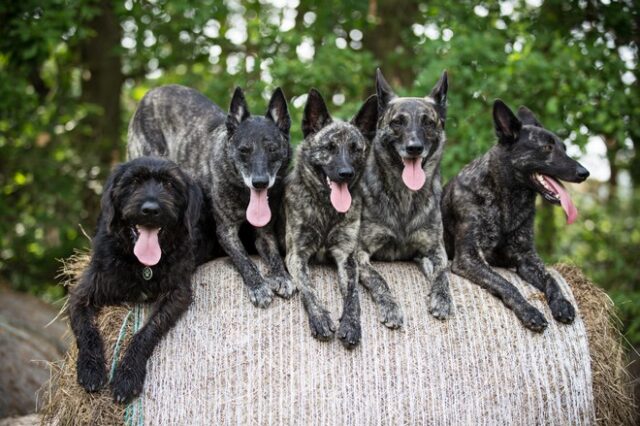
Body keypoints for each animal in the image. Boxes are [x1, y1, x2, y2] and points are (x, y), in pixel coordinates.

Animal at [70, 156, 210, 402]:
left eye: (170, 184)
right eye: (134, 182)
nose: (151, 210)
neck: (143, 265)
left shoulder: (177, 294)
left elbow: (146, 332)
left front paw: (127, 375)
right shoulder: (81, 294)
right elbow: (87, 330)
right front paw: (90, 368)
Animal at [282, 88, 378, 348]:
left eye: (355, 148)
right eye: (329, 147)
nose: (346, 173)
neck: (326, 208)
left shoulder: (347, 257)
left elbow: (354, 296)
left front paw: (351, 324)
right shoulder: (296, 255)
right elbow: (308, 288)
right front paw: (320, 317)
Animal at [442, 100, 588, 332]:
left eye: (564, 148)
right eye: (547, 148)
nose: (585, 173)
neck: (508, 201)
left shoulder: (527, 258)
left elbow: (551, 279)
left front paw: (562, 303)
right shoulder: (469, 258)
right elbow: (506, 284)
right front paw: (529, 311)